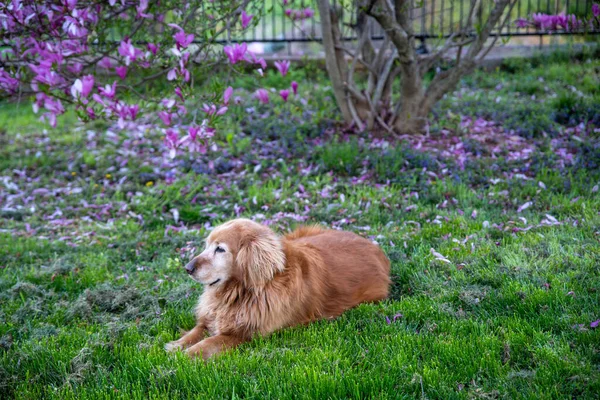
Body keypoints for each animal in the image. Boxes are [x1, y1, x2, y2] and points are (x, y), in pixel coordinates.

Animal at [165, 219, 390, 360]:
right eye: (207, 246)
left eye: (220, 249)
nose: (187, 268)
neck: (242, 291)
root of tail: (376, 247)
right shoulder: (211, 317)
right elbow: (196, 331)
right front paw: (176, 345)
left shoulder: (245, 335)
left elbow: (210, 341)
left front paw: (187, 355)